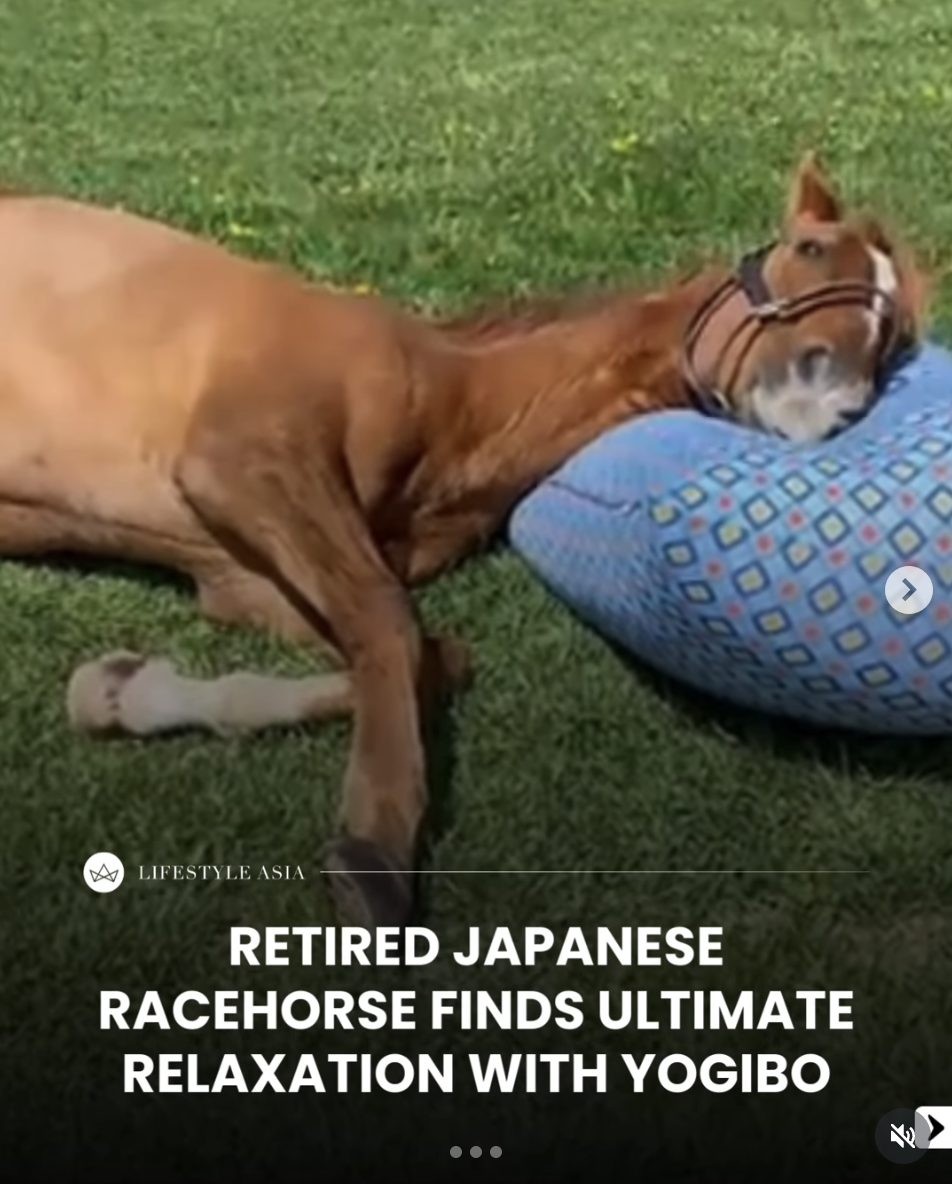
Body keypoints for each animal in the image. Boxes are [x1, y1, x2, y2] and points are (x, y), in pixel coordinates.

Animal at [0, 151, 926, 927]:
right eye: (808, 248)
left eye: (890, 336)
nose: (831, 404)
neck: (456, 407)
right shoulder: (241, 460)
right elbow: (393, 626)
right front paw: (372, 851)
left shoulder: (246, 576)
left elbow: (428, 654)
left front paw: (123, 692)